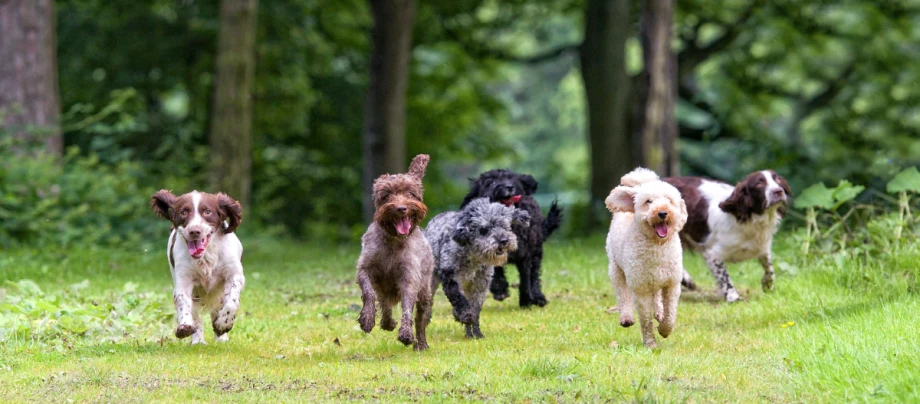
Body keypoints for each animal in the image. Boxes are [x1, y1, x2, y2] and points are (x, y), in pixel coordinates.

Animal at [356, 155, 434, 350]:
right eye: (387, 195)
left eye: (410, 193)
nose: (401, 208)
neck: (393, 241)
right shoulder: (365, 269)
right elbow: (368, 292)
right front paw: (367, 319)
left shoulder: (409, 277)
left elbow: (407, 306)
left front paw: (406, 334)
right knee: (384, 303)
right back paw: (387, 322)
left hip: (425, 291)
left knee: (420, 319)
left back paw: (421, 344)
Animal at [426, 198, 528, 338]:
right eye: (484, 229)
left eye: (504, 226)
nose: (504, 240)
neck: (473, 257)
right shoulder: (450, 277)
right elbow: (458, 298)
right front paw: (465, 315)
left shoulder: (480, 285)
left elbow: (475, 309)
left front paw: (475, 333)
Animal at [458, 170, 560, 306]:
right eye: (492, 182)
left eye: (512, 179)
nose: (509, 187)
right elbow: (496, 272)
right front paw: (500, 290)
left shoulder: (525, 254)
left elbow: (525, 278)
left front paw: (526, 300)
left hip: (536, 251)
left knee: (534, 276)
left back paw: (538, 297)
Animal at [608, 167, 688, 348]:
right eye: (648, 202)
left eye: (669, 200)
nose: (663, 213)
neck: (657, 245)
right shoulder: (641, 287)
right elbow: (645, 319)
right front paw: (650, 343)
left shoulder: (672, 283)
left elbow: (670, 314)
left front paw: (664, 329)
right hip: (616, 269)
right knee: (622, 293)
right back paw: (626, 317)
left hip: (658, 279)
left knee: (657, 296)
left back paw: (659, 313)